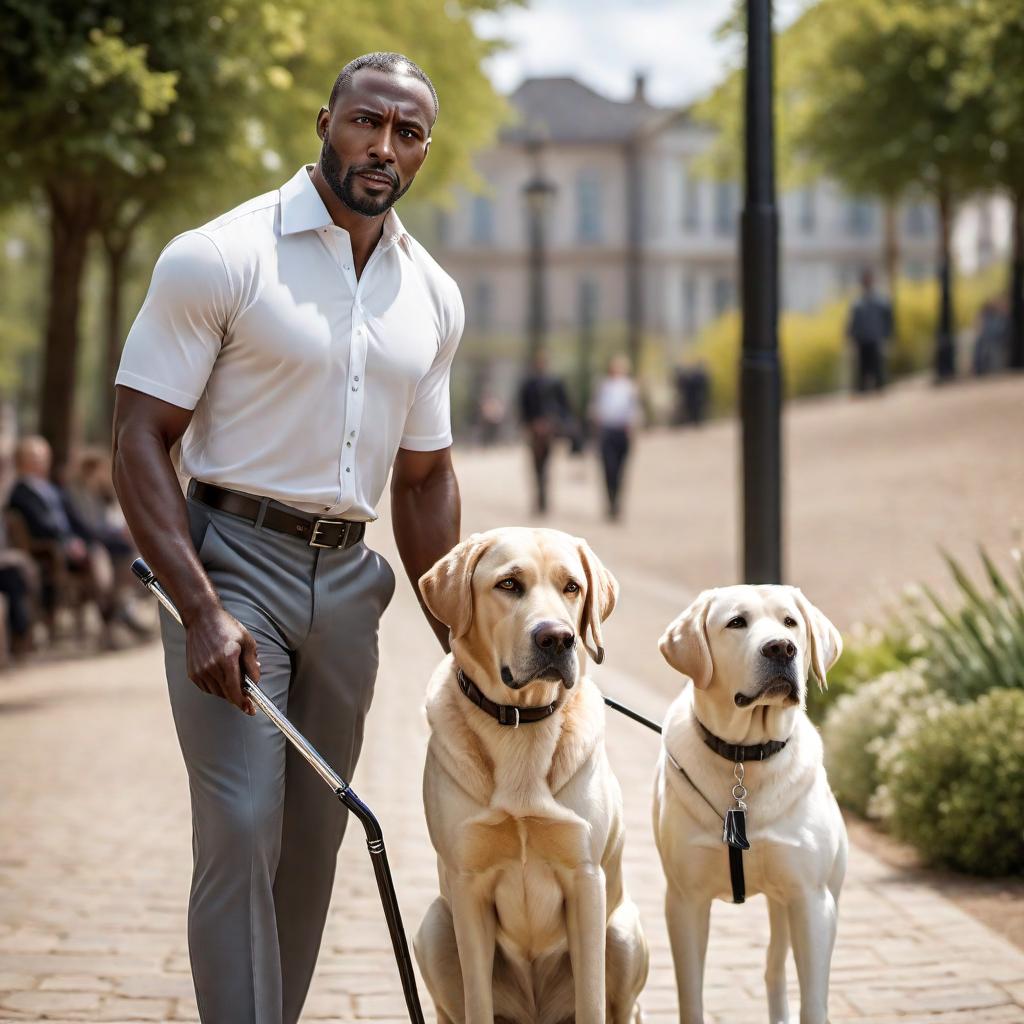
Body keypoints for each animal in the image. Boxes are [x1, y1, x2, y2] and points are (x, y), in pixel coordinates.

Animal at [411, 528, 643, 1024]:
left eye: (572, 587)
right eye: (509, 584)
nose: (558, 638)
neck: (521, 720)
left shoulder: (585, 881)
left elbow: (592, 1002)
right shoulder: (468, 884)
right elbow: (477, 1003)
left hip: (622, 932)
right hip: (435, 928)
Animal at [655, 585, 847, 1024]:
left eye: (791, 622)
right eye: (736, 622)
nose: (781, 647)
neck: (746, 754)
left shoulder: (811, 900)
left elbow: (814, 1002)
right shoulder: (684, 901)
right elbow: (691, 999)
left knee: (774, 967)